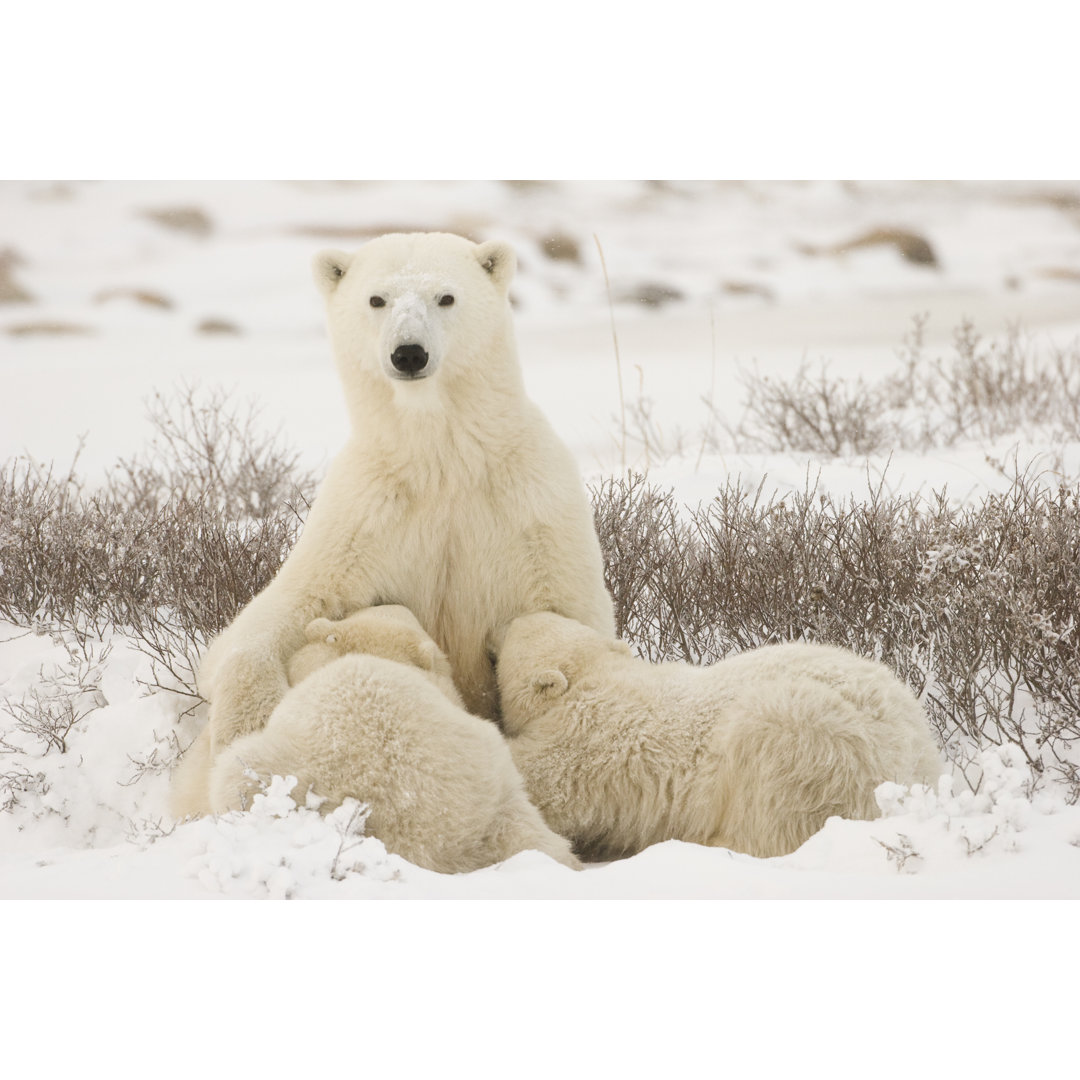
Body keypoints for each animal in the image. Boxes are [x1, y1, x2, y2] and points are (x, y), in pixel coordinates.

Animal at [197, 231, 613, 751]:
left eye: (446, 296)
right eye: (377, 299)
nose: (409, 353)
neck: (442, 462)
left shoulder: (533, 507)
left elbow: (569, 612)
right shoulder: (364, 514)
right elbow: (282, 610)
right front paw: (241, 724)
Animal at [494, 617, 941, 859]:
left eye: (514, 629)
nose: (495, 629)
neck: (594, 675)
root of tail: (914, 755)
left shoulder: (588, 739)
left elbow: (542, 781)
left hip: (815, 742)